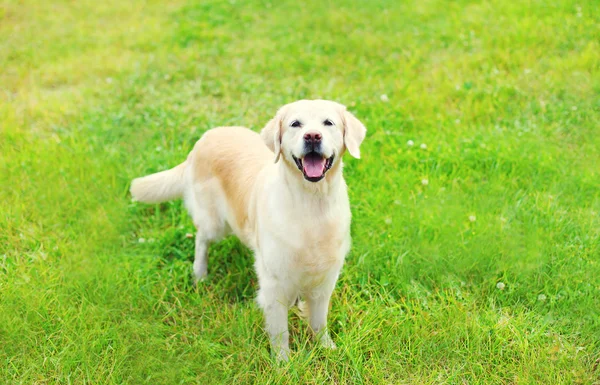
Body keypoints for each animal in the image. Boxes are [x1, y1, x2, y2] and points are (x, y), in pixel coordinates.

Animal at [131, 99, 366, 360]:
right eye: (296, 123)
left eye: (328, 123)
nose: (313, 136)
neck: (311, 203)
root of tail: (205, 138)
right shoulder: (274, 283)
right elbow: (280, 331)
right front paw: (283, 363)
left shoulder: (325, 278)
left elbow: (319, 320)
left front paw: (327, 348)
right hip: (215, 223)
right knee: (201, 240)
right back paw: (200, 273)